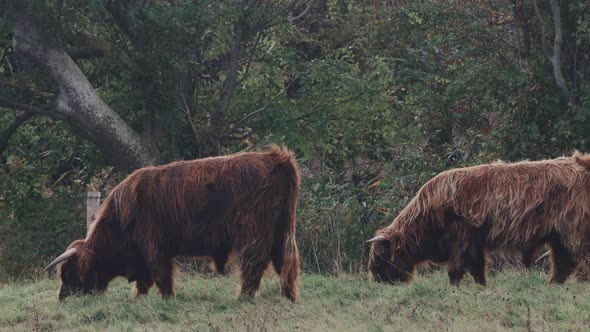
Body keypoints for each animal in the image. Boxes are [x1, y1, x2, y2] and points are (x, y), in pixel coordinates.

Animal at [45, 145, 300, 300]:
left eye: (68, 272)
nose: (62, 297)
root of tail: (275, 159)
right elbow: (146, 280)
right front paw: (139, 297)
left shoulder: (153, 247)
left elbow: (160, 274)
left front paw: (166, 298)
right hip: (282, 230)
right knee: (285, 262)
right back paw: (288, 296)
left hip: (254, 232)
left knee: (254, 263)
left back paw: (243, 296)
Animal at [370, 153, 590, 286]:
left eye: (380, 258)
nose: (378, 281)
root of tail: (581, 164)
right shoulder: (472, 243)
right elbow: (474, 270)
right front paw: (480, 286)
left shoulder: (462, 241)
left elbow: (458, 270)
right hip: (558, 235)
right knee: (563, 261)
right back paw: (553, 284)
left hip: (575, 231)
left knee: (580, 259)